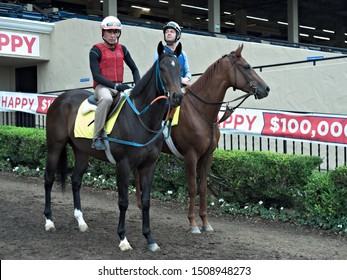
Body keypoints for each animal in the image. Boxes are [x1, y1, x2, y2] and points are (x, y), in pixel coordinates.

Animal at [43, 41, 185, 252]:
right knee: (49, 180)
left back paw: (81, 221)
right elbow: (123, 202)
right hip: (55, 147)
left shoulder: (149, 166)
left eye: (180, 69)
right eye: (162, 68)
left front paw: (150, 239)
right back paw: (49, 221)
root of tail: (60, 99)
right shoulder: (123, 165)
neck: (141, 118)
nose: (177, 97)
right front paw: (123, 239)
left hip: (82, 152)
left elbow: (145, 201)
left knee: (76, 180)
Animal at [135, 43, 270, 233]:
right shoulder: (191, 156)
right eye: (246, 66)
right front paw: (193, 223)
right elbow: (192, 188)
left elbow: (203, 188)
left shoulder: (207, 155)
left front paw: (205, 222)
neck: (200, 111)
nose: (266, 88)